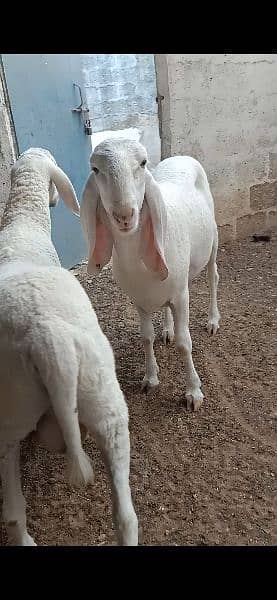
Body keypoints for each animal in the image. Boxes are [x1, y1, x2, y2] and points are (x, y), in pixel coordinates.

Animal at [80, 140, 220, 412]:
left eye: (143, 163)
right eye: (95, 169)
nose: (124, 215)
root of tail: (181, 156)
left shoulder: (181, 296)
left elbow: (184, 343)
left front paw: (193, 391)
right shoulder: (139, 301)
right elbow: (146, 338)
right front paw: (150, 378)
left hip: (213, 243)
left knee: (213, 278)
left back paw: (212, 320)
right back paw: (167, 329)